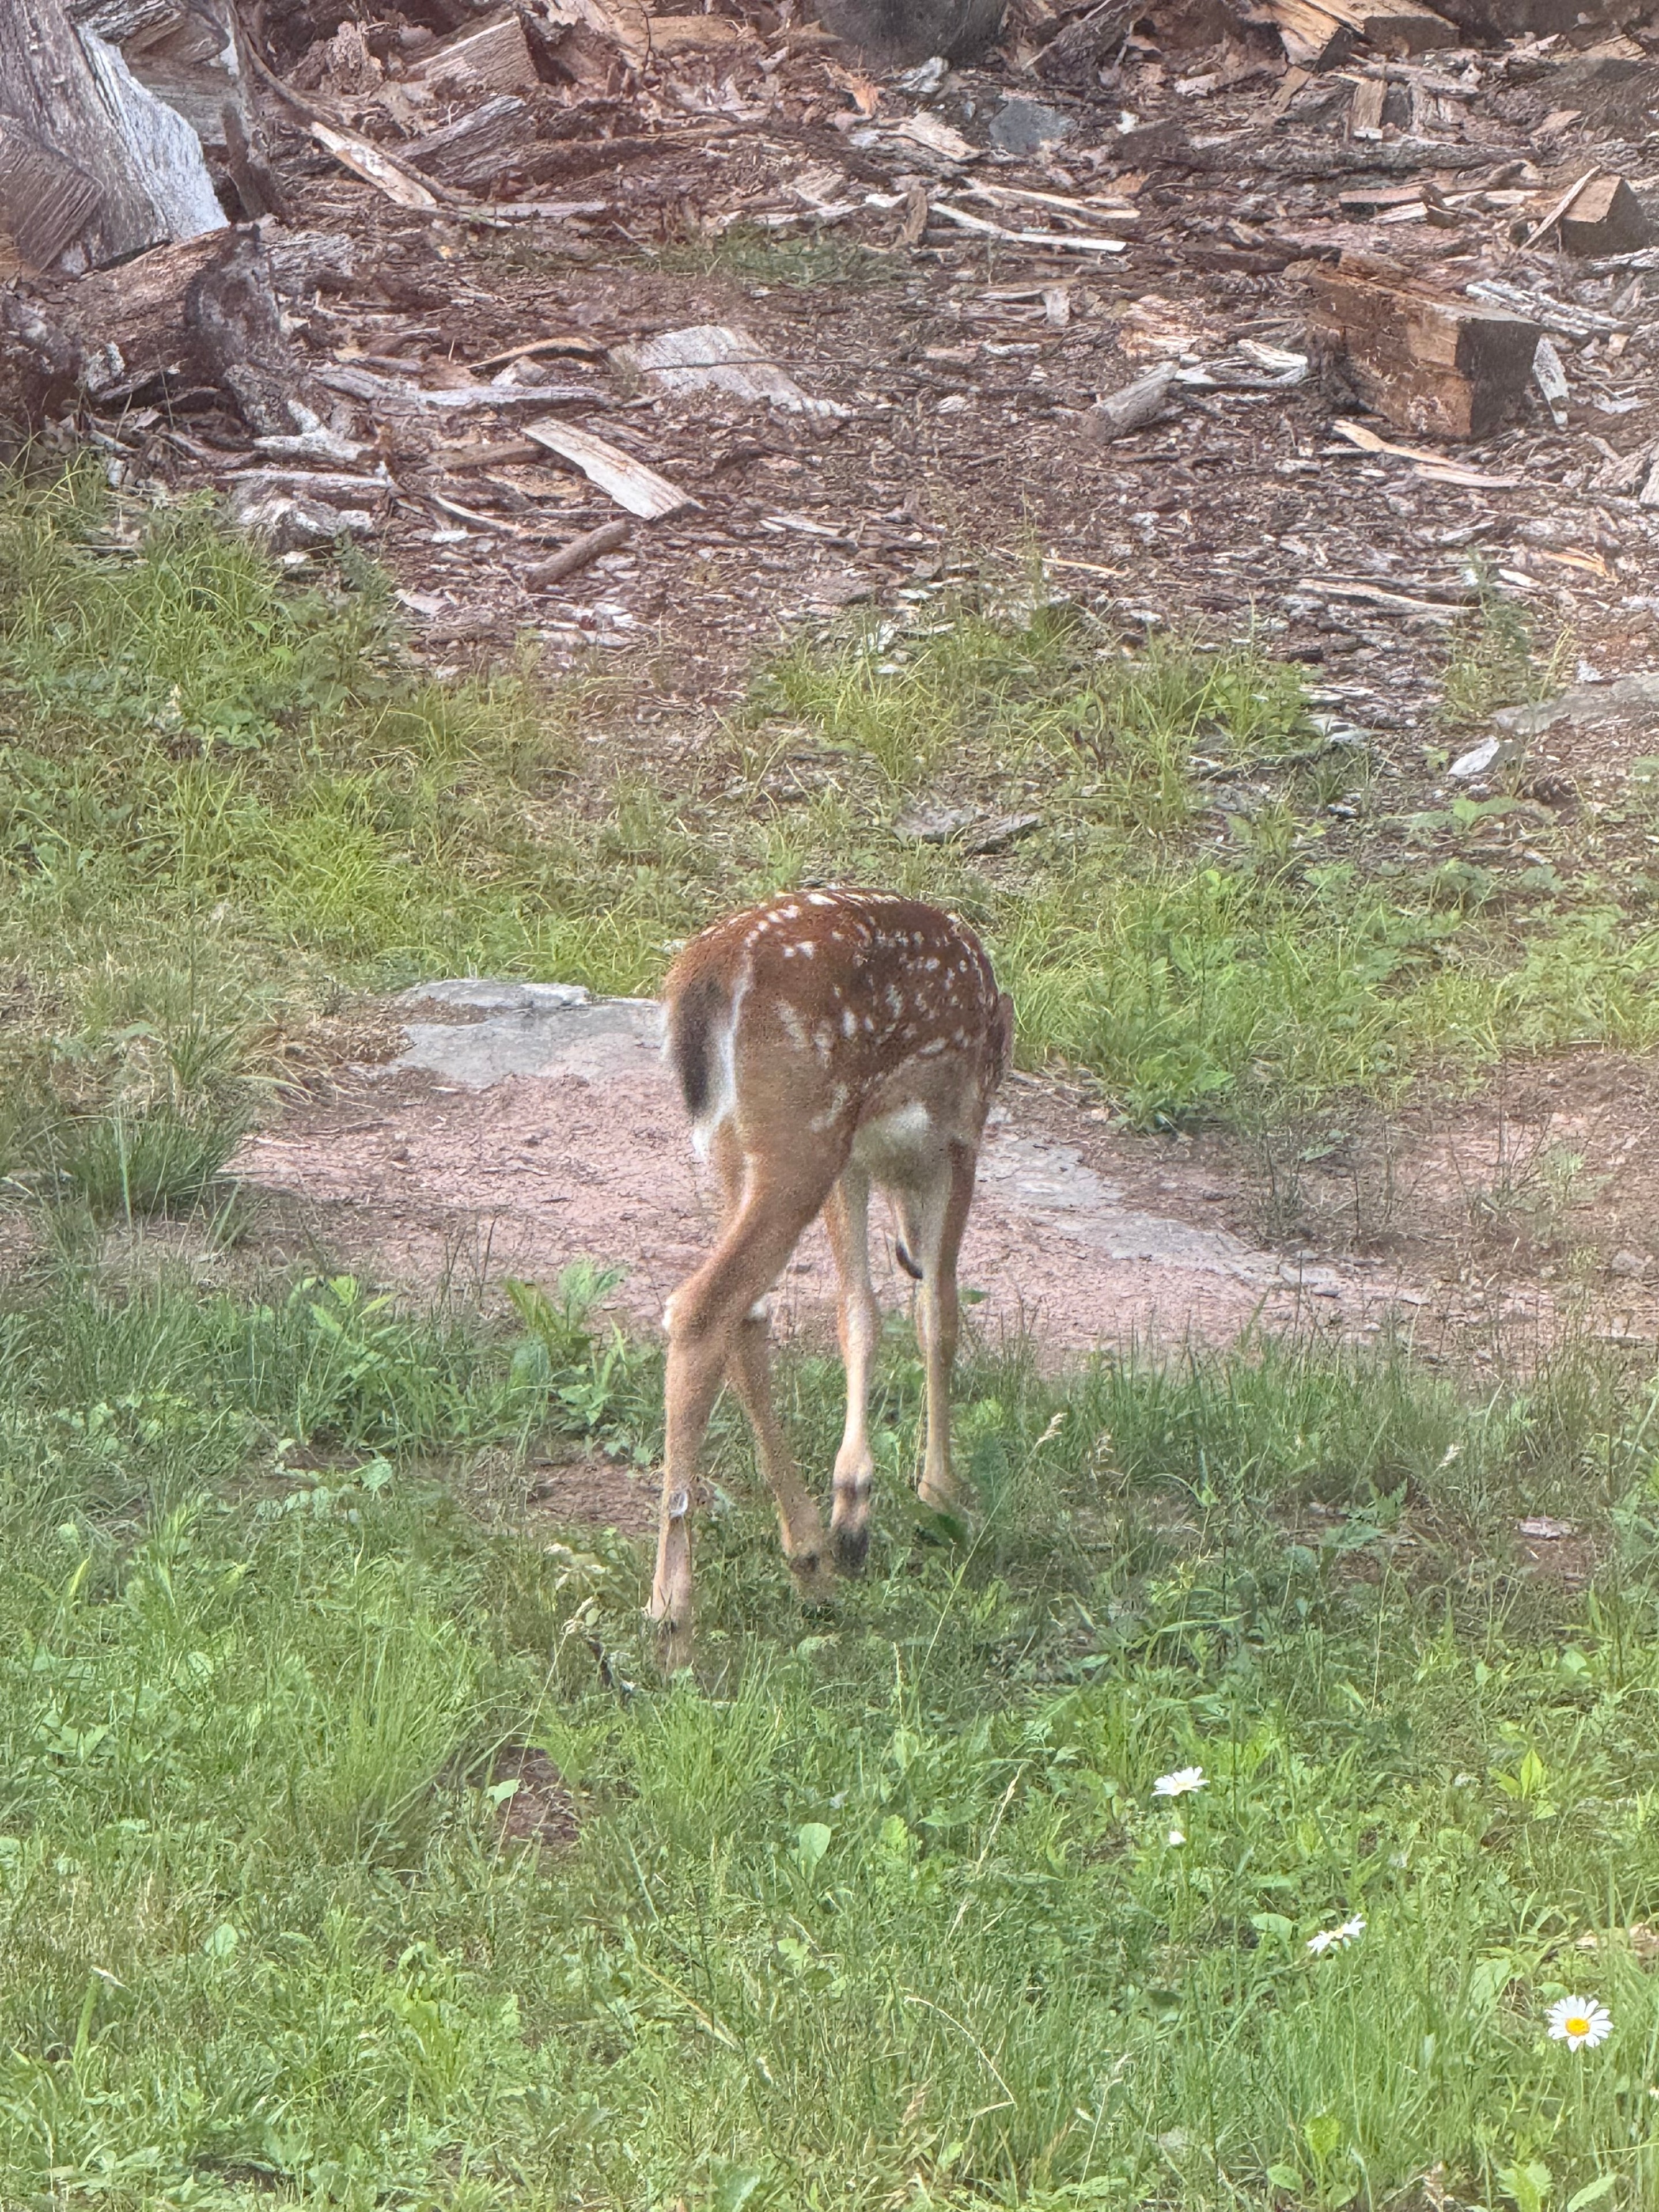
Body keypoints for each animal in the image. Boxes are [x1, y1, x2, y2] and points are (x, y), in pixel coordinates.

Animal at [649, 887, 1014, 1670]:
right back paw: (673, 1620)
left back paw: (811, 1554)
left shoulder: (858, 1161)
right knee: (702, 1306)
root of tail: (706, 970)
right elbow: (937, 1313)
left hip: (742, 1145)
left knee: (748, 1315)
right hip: (804, 1126)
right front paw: (942, 1491)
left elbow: (860, 1312)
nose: (908, 1248)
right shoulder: (960, 1130)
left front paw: (856, 1501)